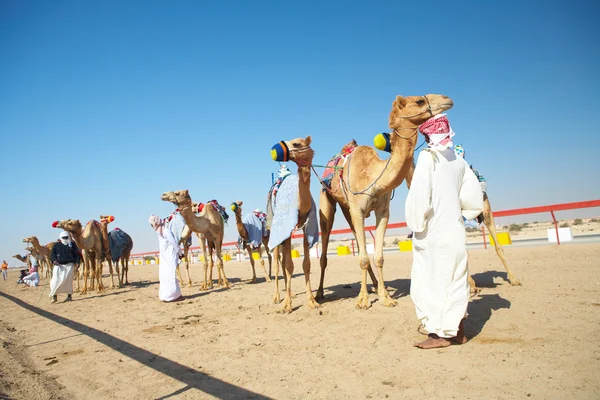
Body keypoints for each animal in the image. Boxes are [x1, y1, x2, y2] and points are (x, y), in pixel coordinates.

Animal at [270, 134, 322, 312]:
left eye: (297, 143)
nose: (275, 148)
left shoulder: (308, 227)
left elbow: (306, 264)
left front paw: (312, 301)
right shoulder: (286, 229)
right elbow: (289, 265)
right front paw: (286, 305)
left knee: (283, 261)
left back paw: (291, 293)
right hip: (275, 230)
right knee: (277, 262)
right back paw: (277, 297)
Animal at [316, 94, 452, 310]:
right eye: (420, 101)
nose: (447, 99)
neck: (374, 177)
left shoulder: (382, 212)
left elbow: (378, 256)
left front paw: (385, 297)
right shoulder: (358, 210)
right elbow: (363, 258)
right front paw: (363, 300)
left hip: (347, 209)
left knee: (357, 240)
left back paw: (375, 286)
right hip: (327, 201)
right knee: (325, 246)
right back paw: (320, 293)